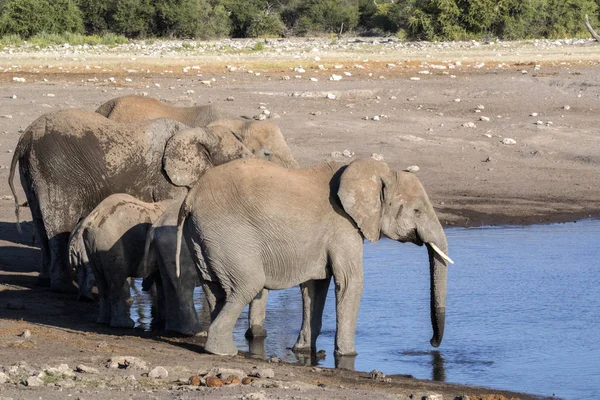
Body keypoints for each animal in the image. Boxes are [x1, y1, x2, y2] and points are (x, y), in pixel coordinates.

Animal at [9, 108, 248, 292]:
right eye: (240, 159)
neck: (200, 132)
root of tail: (25, 137)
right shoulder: (167, 181)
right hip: (56, 169)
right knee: (59, 223)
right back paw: (64, 288)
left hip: (33, 170)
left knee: (40, 223)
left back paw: (44, 282)